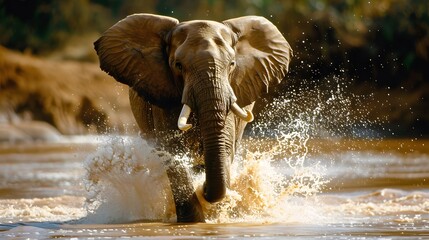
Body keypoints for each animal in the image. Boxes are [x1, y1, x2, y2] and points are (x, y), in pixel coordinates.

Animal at [93, 13, 290, 223]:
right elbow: (172, 151)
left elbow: (225, 146)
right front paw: (194, 219)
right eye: (178, 65)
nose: (203, 189)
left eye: (232, 64)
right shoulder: (163, 96)